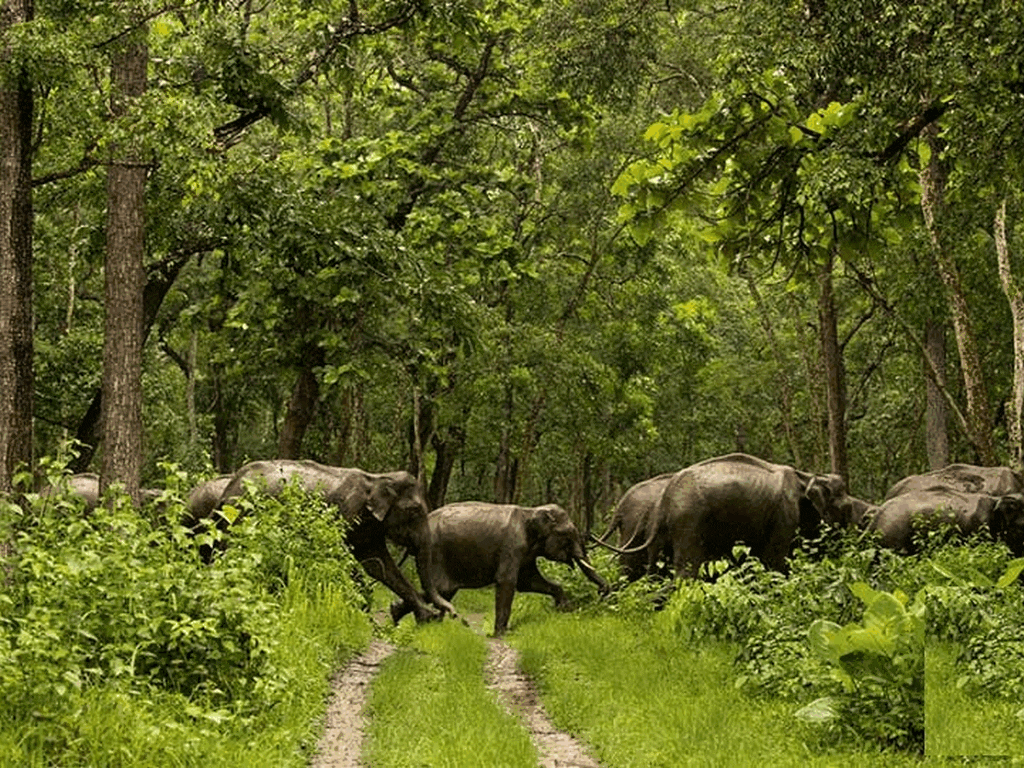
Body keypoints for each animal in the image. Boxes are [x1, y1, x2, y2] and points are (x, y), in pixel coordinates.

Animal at [214, 460, 454, 622]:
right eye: (414, 512)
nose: (449, 613)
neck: (377, 478)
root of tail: (229, 487)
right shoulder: (345, 513)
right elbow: (343, 557)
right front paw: (362, 612)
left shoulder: (370, 529)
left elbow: (380, 566)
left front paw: (425, 616)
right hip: (241, 516)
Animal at [385, 501, 606, 634]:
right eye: (567, 534)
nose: (603, 591)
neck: (530, 510)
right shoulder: (512, 545)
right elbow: (507, 581)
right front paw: (501, 633)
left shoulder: (526, 553)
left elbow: (528, 582)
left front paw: (564, 609)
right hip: (435, 552)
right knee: (442, 589)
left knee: (442, 591)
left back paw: (403, 616)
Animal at [598, 456, 860, 577]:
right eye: (847, 509)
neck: (806, 475)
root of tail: (666, 499)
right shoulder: (784, 516)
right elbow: (774, 561)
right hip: (688, 522)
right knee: (685, 570)